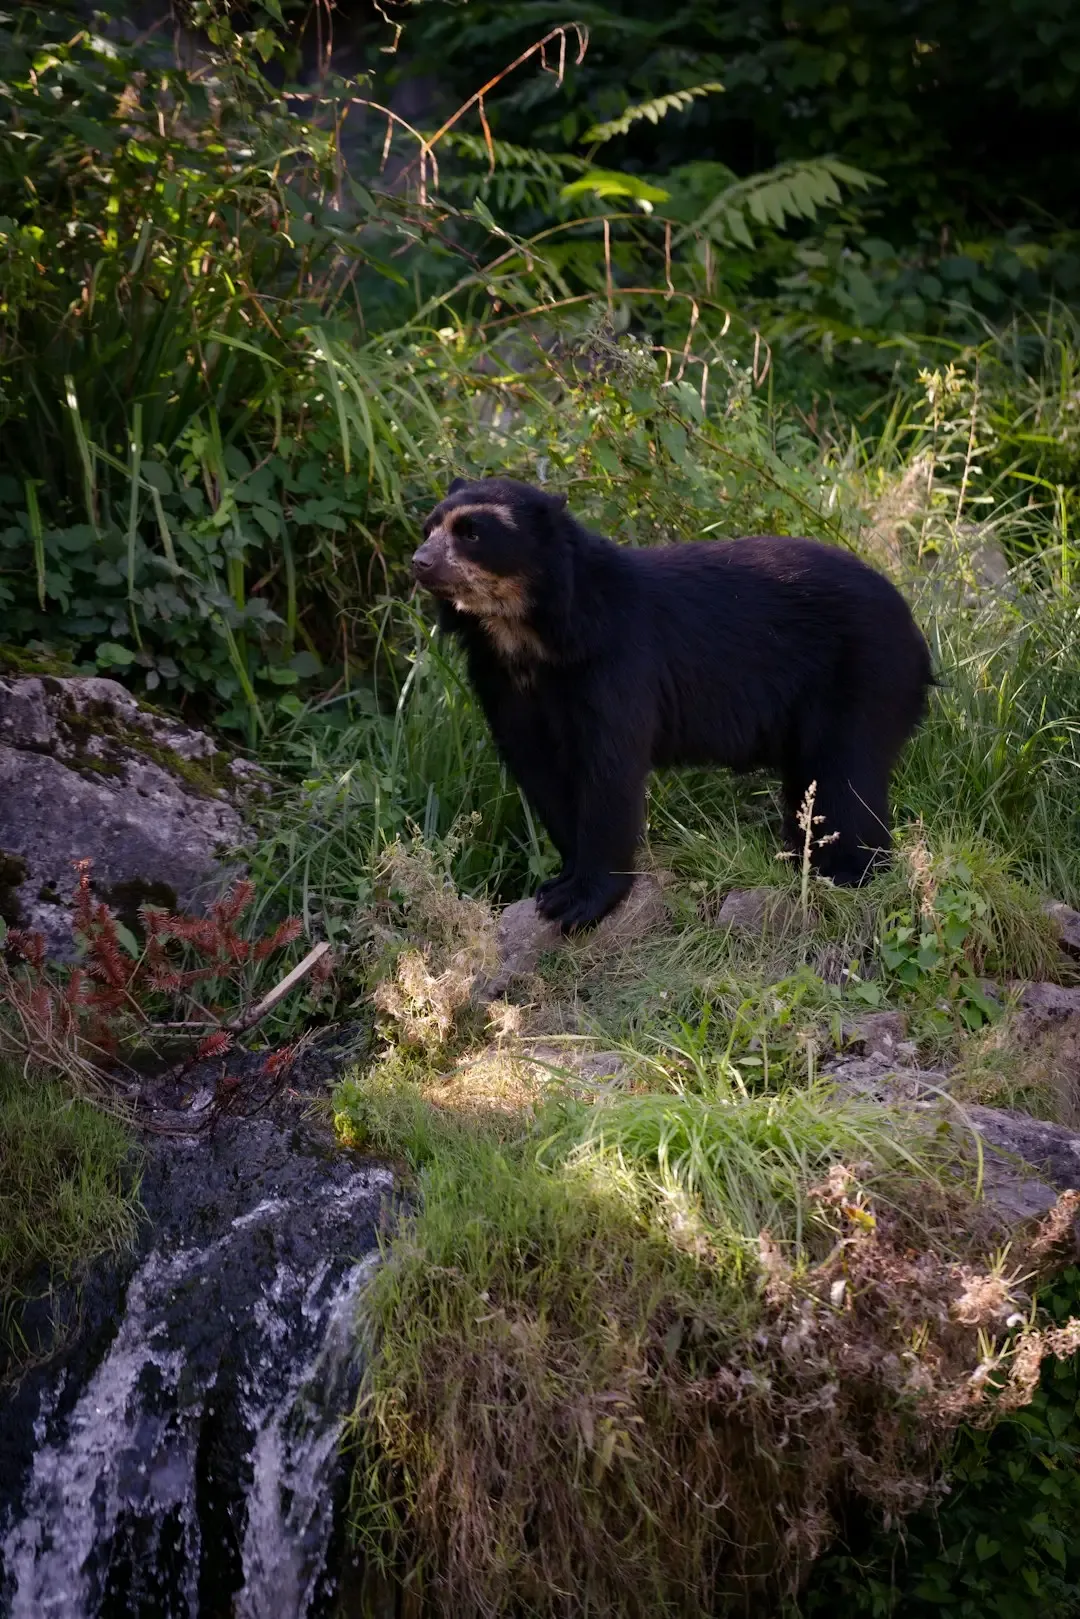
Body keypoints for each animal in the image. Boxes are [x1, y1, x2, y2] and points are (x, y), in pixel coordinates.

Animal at [411, 476, 933, 932]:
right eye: (428, 528)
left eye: (472, 533)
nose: (419, 562)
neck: (523, 634)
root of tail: (914, 627)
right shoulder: (501, 682)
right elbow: (540, 772)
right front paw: (560, 881)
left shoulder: (615, 662)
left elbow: (609, 769)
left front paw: (579, 901)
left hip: (864, 675)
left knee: (846, 775)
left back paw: (847, 871)